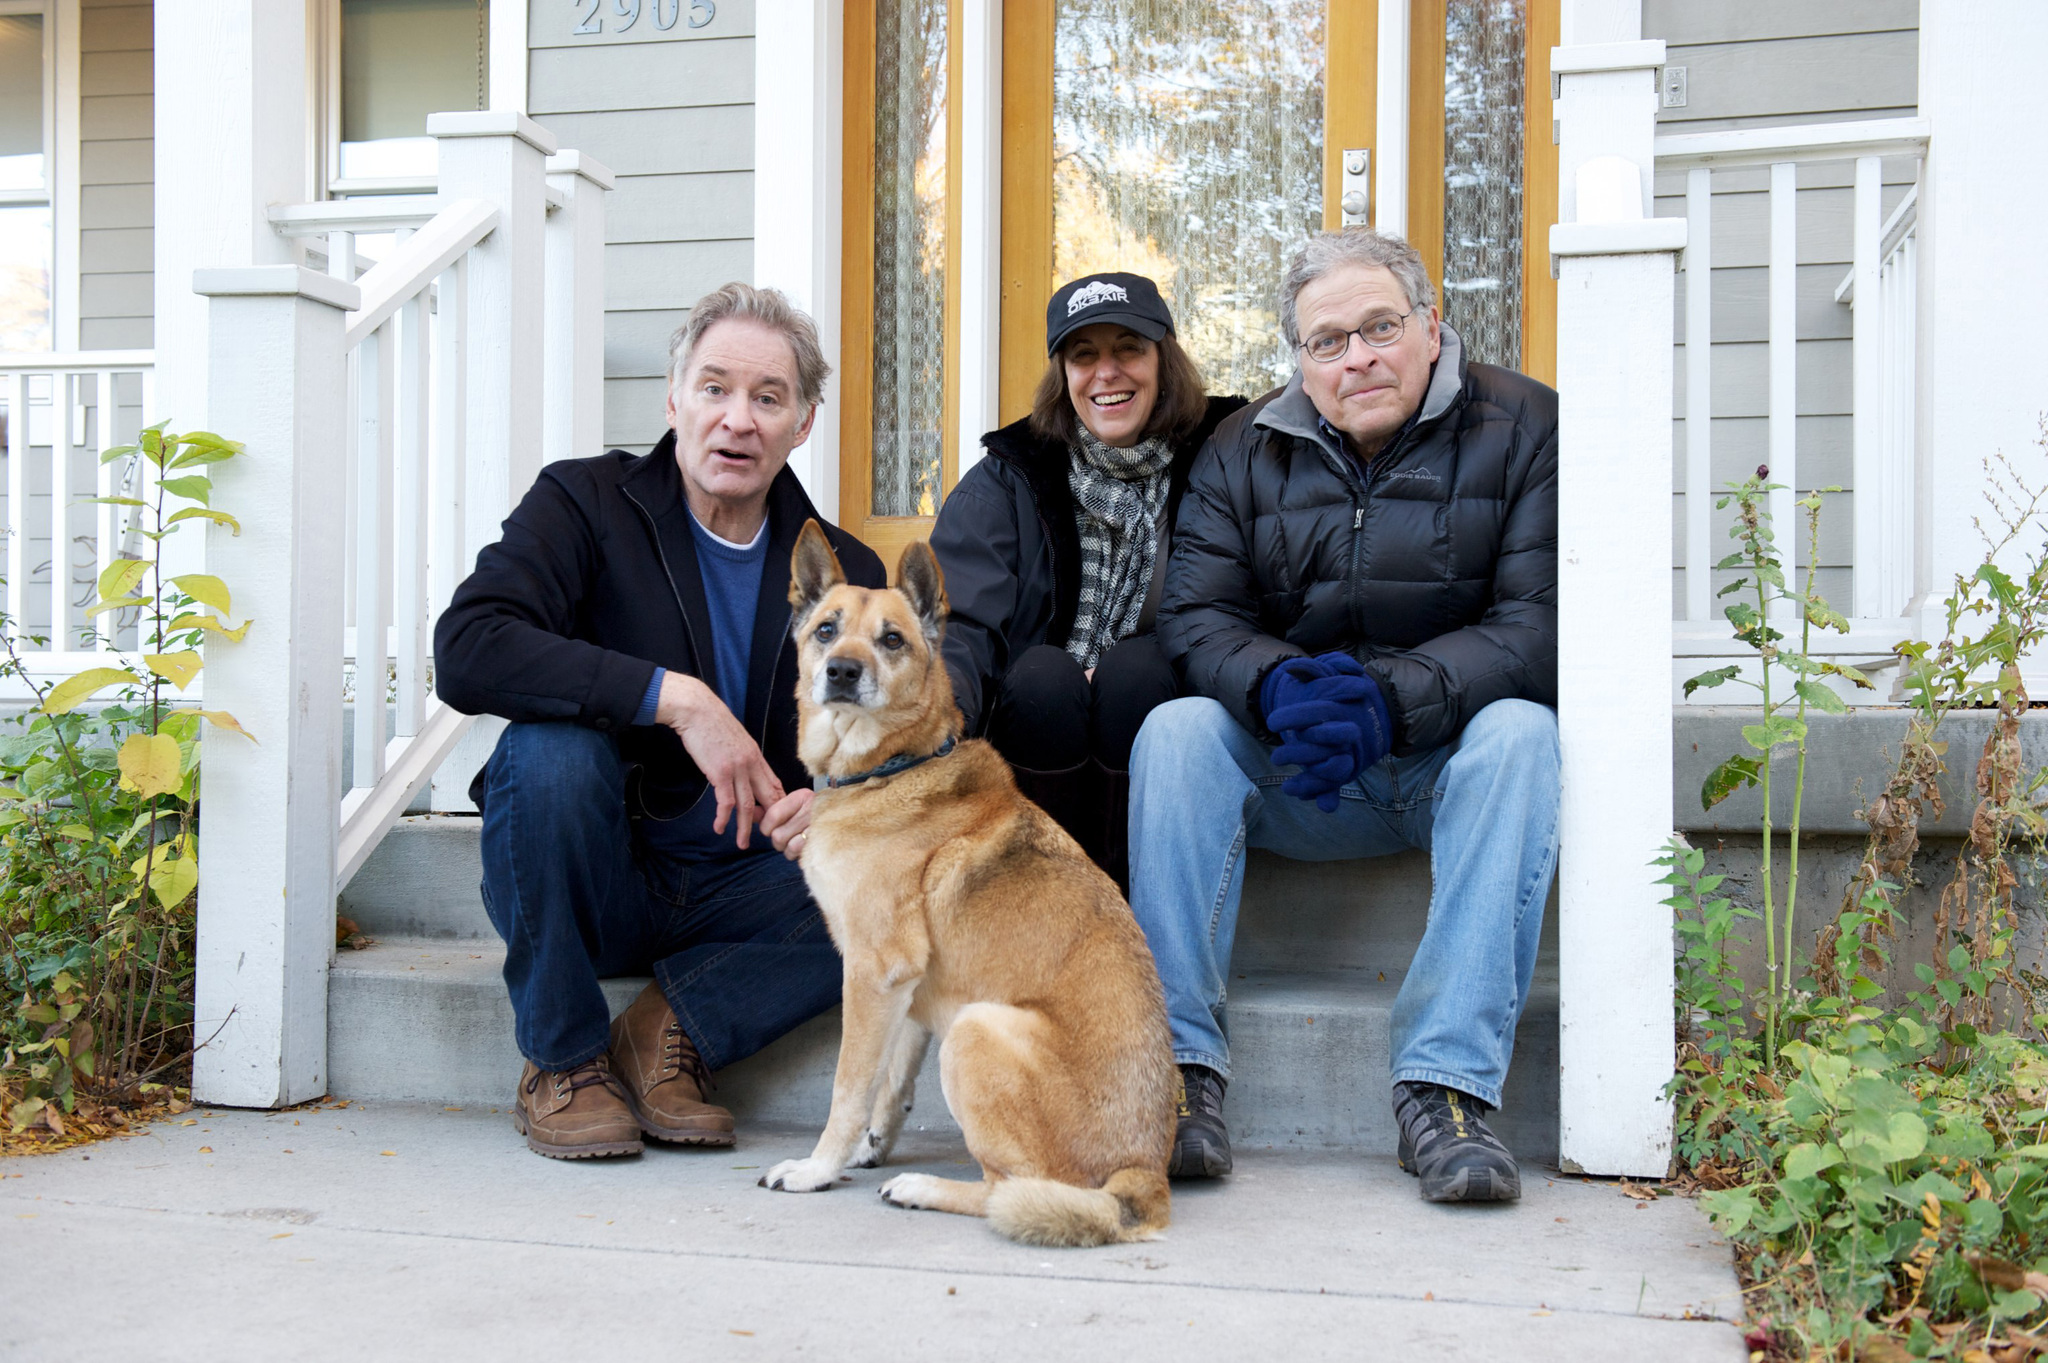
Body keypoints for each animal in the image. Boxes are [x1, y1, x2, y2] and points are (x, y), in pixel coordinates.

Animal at [753, 517, 1171, 1244]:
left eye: (891, 639)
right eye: (827, 630)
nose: (841, 672)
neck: (892, 768)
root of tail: (1145, 1176)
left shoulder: (873, 972)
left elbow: (848, 1086)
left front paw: (817, 1168)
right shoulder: (907, 988)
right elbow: (890, 1081)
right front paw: (869, 1145)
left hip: (975, 1030)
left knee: (1010, 1189)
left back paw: (922, 1187)